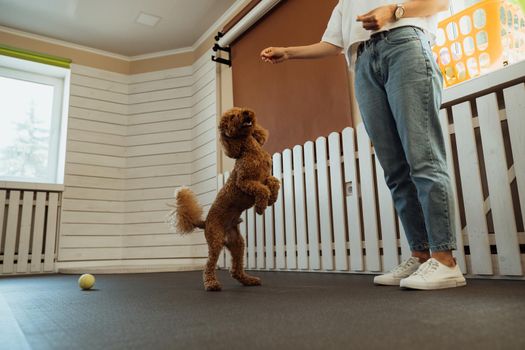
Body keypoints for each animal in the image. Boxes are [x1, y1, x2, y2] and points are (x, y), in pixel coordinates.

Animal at [170, 108, 280, 292]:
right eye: (232, 117)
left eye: (240, 110)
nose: (246, 113)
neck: (250, 149)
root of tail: (204, 222)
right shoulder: (244, 182)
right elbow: (261, 189)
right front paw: (261, 206)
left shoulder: (266, 176)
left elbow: (274, 181)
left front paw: (272, 199)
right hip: (215, 241)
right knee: (208, 265)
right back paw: (211, 284)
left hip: (237, 244)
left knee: (235, 269)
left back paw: (248, 280)